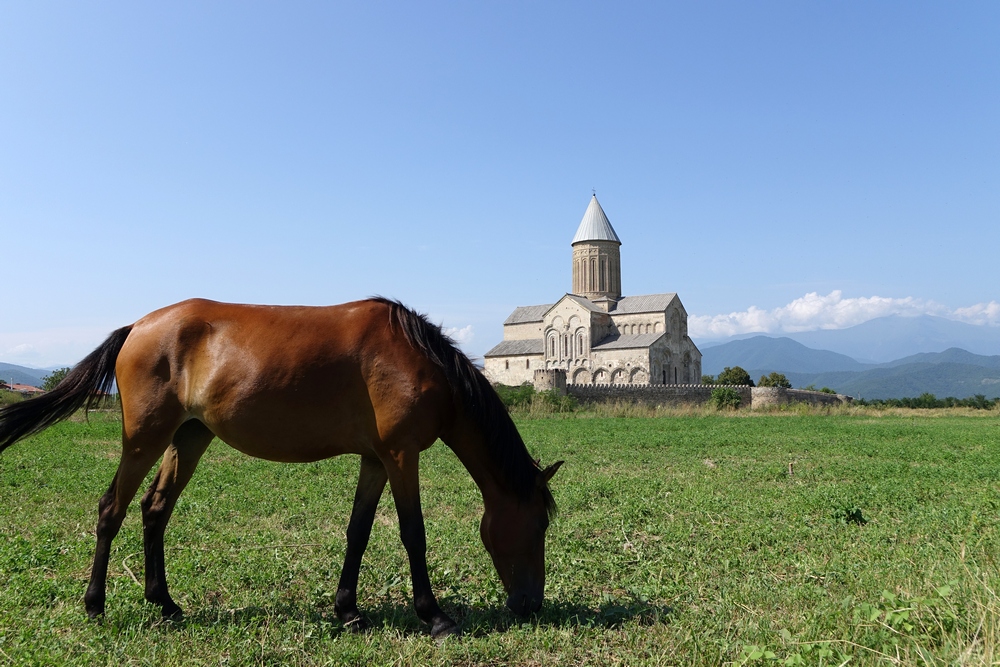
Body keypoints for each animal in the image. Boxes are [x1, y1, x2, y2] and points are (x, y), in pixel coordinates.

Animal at [0, 298, 564, 636]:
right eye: (539, 524)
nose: (531, 604)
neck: (418, 360)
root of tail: (138, 325)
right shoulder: (402, 455)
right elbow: (413, 533)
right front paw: (435, 616)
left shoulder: (376, 459)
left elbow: (359, 531)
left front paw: (348, 610)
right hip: (144, 439)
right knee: (111, 510)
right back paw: (95, 605)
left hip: (188, 437)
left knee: (154, 509)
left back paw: (164, 603)